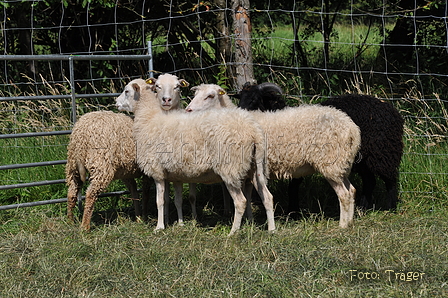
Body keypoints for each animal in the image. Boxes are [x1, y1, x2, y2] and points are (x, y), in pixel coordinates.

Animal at [115, 75, 196, 226]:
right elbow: (175, 200)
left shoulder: (157, 169)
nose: (116, 102)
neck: (148, 116)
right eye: (157, 86)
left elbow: (160, 201)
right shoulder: (173, 172)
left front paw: (160, 226)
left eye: (126, 91)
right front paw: (178, 223)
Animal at [186, 84, 360, 228]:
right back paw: (350, 221)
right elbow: (248, 196)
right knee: (351, 190)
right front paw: (249, 220)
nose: (188, 110)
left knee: (343, 194)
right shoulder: (248, 173)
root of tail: (351, 128)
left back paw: (342, 225)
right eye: (195, 94)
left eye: (210, 96)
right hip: (341, 164)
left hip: (330, 163)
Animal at [238, 82, 406, 211]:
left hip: (383, 153)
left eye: (254, 99)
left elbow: (293, 186)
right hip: (362, 159)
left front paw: (293, 210)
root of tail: (394, 112)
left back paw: (390, 207)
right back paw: (362, 207)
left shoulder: (298, 160)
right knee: (370, 181)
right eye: (239, 99)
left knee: (390, 179)